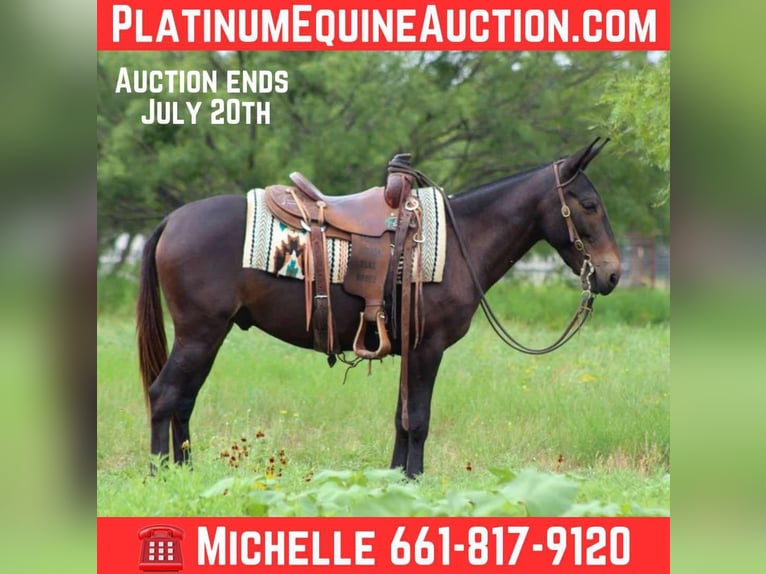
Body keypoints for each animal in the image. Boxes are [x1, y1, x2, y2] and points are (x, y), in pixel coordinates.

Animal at [137, 138, 621, 478]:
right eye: (589, 205)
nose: (613, 274)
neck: (460, 240)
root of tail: (173, 220)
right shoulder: (428, 348)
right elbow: (419, 419)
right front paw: (414, 481)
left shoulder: (411, 350)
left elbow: (401, 419)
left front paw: (394, 480)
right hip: (200, 333)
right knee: (165, 395)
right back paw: (160, 475)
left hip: (208, 335)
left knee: (183, 400)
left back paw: (185, 473)